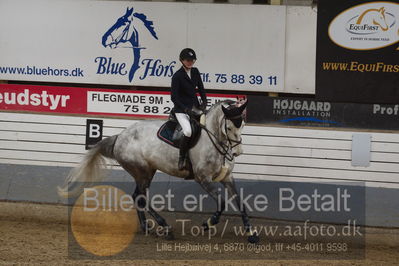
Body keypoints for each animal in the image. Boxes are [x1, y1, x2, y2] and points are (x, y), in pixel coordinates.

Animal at [58, 100, 260, 243]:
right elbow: (222, 202)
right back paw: (165, 228)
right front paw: (207, 223)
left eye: (242, 125)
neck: (214, 140)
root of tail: (120, 136)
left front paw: (252, 232)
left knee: (137, 196)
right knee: (141, 197)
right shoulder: (203, 178)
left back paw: (147, 227)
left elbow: (240, 203)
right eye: (229, 127)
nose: (237, 152)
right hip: (142, 170)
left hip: (147, 171)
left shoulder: (227, 177)